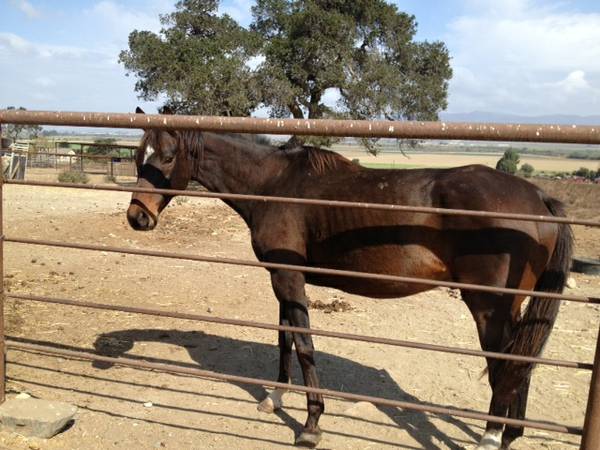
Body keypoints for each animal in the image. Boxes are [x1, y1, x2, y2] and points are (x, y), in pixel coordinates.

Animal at [125, 109, 572, 450]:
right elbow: (285, 338)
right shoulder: (283, 279)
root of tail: (537, 197)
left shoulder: (289, 280)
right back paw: (511, 434)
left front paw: (311, 426)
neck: (274, 185)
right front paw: (275, 397)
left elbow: (304, 345)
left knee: (506, 362)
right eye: (138, 155)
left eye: (168, 156)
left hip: (489, 308)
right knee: (519, 363)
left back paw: (492, 437)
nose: (137, 217)